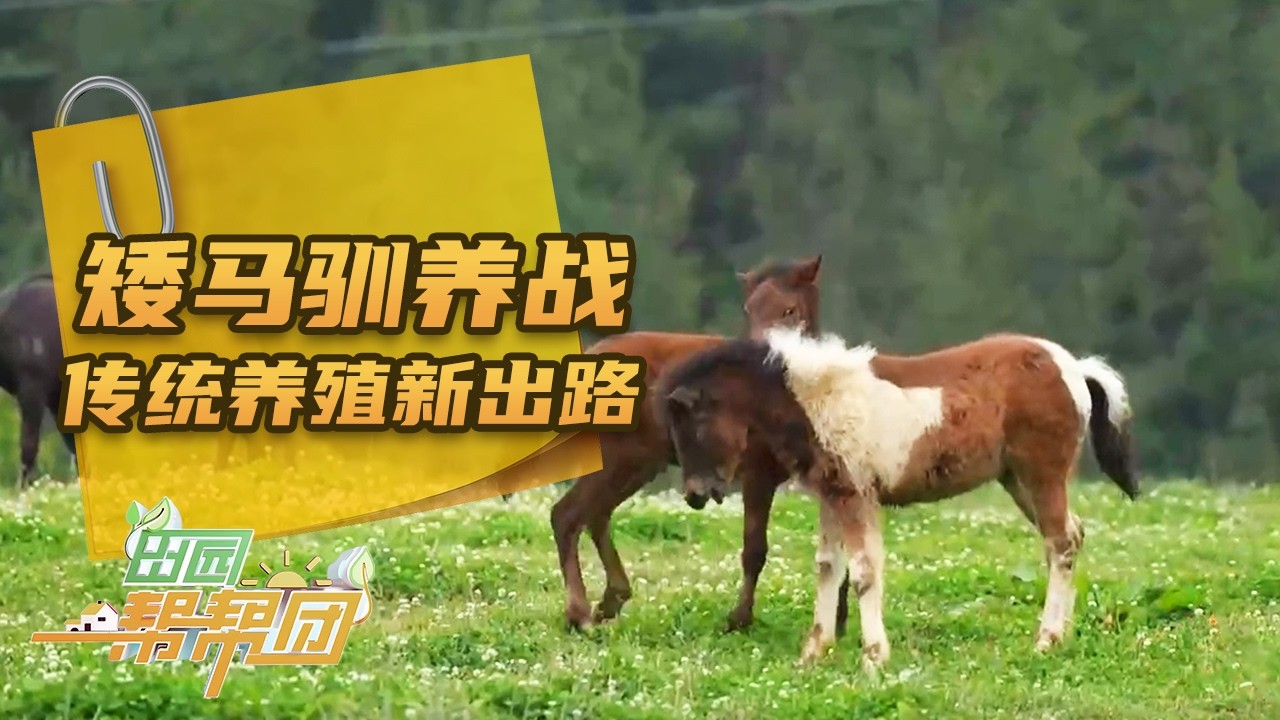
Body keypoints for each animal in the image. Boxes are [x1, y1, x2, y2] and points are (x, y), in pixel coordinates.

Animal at [548, 255, 849, 632]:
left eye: (789, 310)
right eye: (749, 310)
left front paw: (839, 621)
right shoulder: (756, 473)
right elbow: (754, 549)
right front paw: (739, 619)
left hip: (638, 463)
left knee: (594, 514)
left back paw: (611, 599)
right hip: (619, 457)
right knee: (567, 516)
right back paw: (580, 614)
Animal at [660, 327, 1139, 672]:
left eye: (692, 422)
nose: (695, 495)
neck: (817, 399)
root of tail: (1074, 368)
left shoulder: (856, 495)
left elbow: (863, 573)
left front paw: (874, 657)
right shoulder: (831, 494)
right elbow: (827, 568)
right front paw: (814, 652)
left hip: (1041, 473)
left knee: (1061, 543)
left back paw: (1046, 640)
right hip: (1017, 480)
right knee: (1071, 536)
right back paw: (1061, 636)